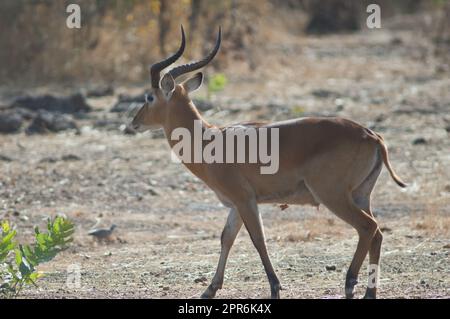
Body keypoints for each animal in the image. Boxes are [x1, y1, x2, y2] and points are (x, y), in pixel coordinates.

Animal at [132, 26, 406, 298]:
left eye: (149, 97)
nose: (134, 122)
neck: (208, 140)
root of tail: (372, 135)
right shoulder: (237, 204)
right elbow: (226, 237)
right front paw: (209, 290)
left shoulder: (245, 200)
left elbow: (258, 240)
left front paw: (274, 287)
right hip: (361, 195)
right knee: (377, 233)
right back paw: (369, 292)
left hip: (334, 195)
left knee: (368, 227)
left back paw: (350, 284)